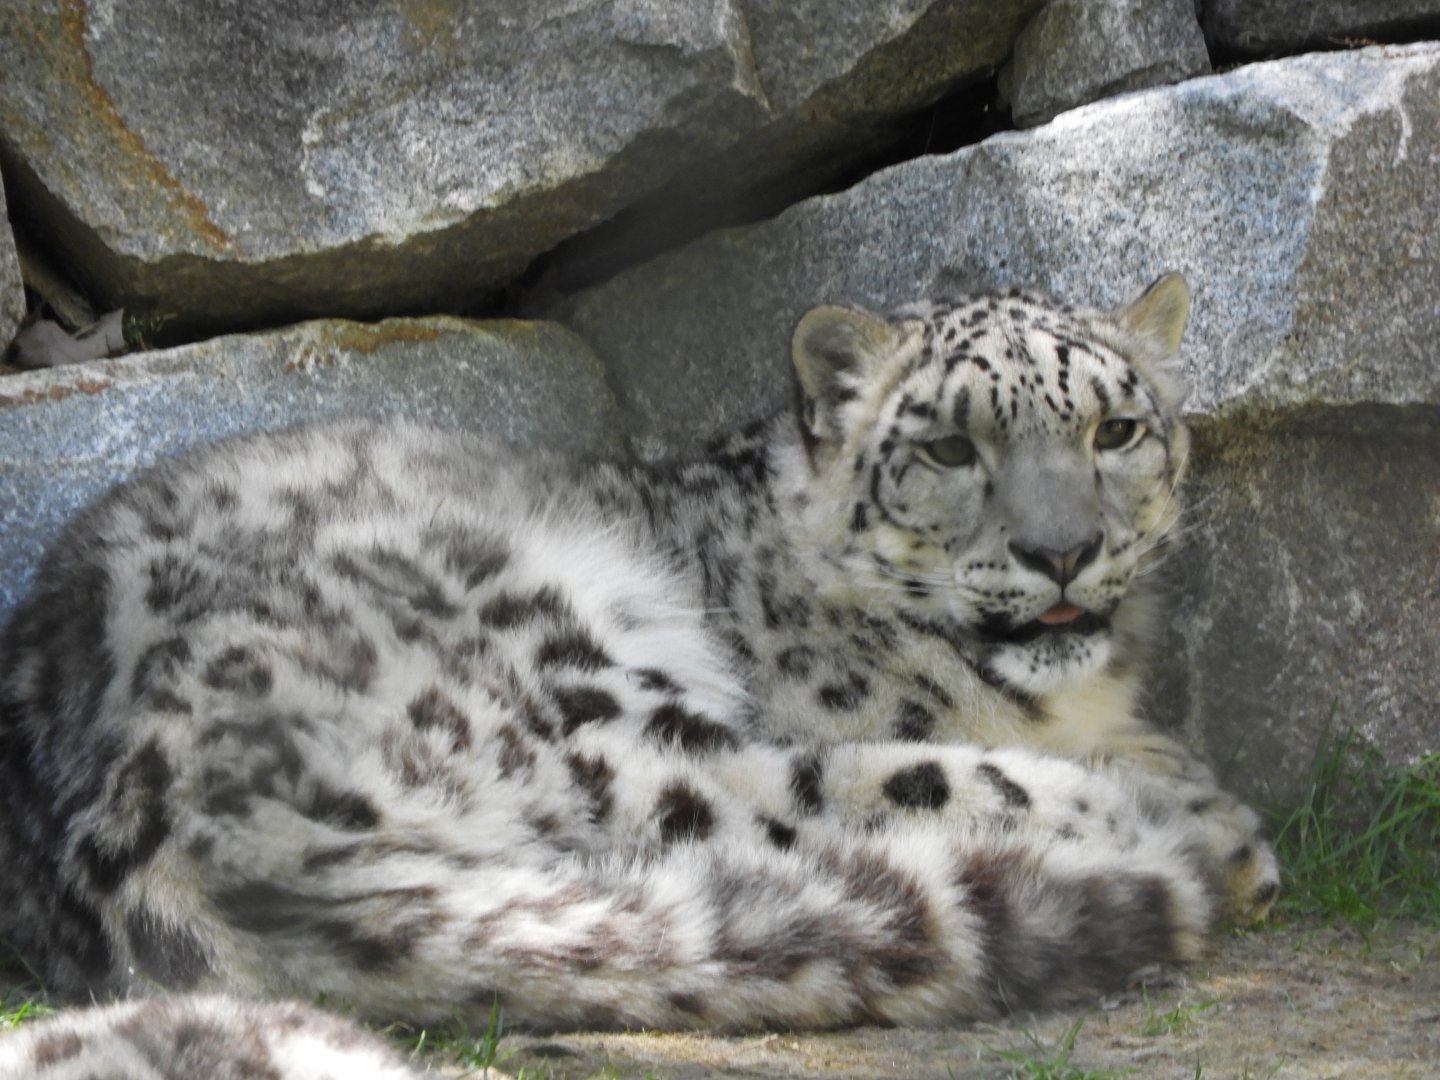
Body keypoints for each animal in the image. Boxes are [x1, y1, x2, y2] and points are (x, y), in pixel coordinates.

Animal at [0, 274, 1278, 1072]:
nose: (1061, 551)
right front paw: (1200, 809)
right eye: (950, 446)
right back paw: (1167, 830)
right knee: (798, 796)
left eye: (1116, 430)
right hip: (580, 689)